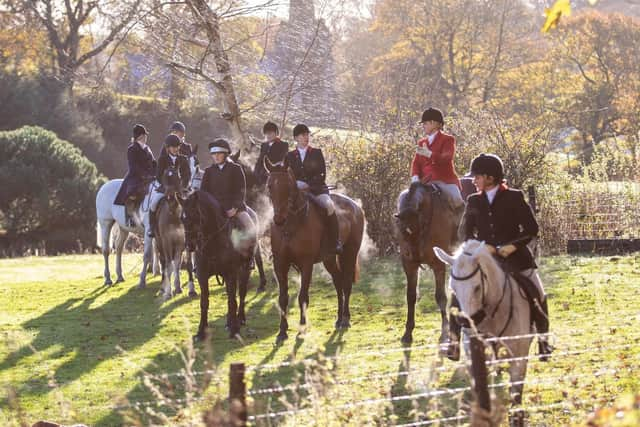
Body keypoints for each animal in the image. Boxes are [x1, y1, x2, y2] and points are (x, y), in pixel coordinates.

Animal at [154, 164, 196, 300]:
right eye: (164, 179)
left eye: (177, 178)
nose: (170, 198)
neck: (174, 215)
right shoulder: (166, 241)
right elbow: (169, 265)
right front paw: (168, 292)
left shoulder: (184, 241)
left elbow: (185, 264)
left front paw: (190, 290)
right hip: (159, 242)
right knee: (164, 262)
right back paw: (163, 288)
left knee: (176, 262)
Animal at [178, 191, 258, 342]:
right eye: (182, 218)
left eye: (196, 215)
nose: (190, 245)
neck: (214, 243)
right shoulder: (203, 276)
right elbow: (204, 302)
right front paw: (201, 331)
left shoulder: (231, 274)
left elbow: (233, 300)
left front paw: (235, 330)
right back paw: (229, 322)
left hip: (244, 270)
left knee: (241, 293)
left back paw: (240, 319)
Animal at [264, 163, 364, 344]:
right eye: (269, 186)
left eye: (288, 186)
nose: (279, 220)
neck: (291, 223)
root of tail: (356, 206)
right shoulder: (280, 264)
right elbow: (283, 298)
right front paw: (282, 332)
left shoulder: (306, 264)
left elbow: (303, 296)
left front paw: (302, 328)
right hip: (329, 259)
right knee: (338, 282)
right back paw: (339, 318)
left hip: (350, 253)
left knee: (346, 283)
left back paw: (345, 319)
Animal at [396, 183, 460, 344]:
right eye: (402, 232)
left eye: (417, 227)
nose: (413, 255)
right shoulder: (409, 266)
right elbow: (411, 296)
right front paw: (408, 331)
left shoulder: (438, 265)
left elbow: (441, 296)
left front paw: (445, 331)